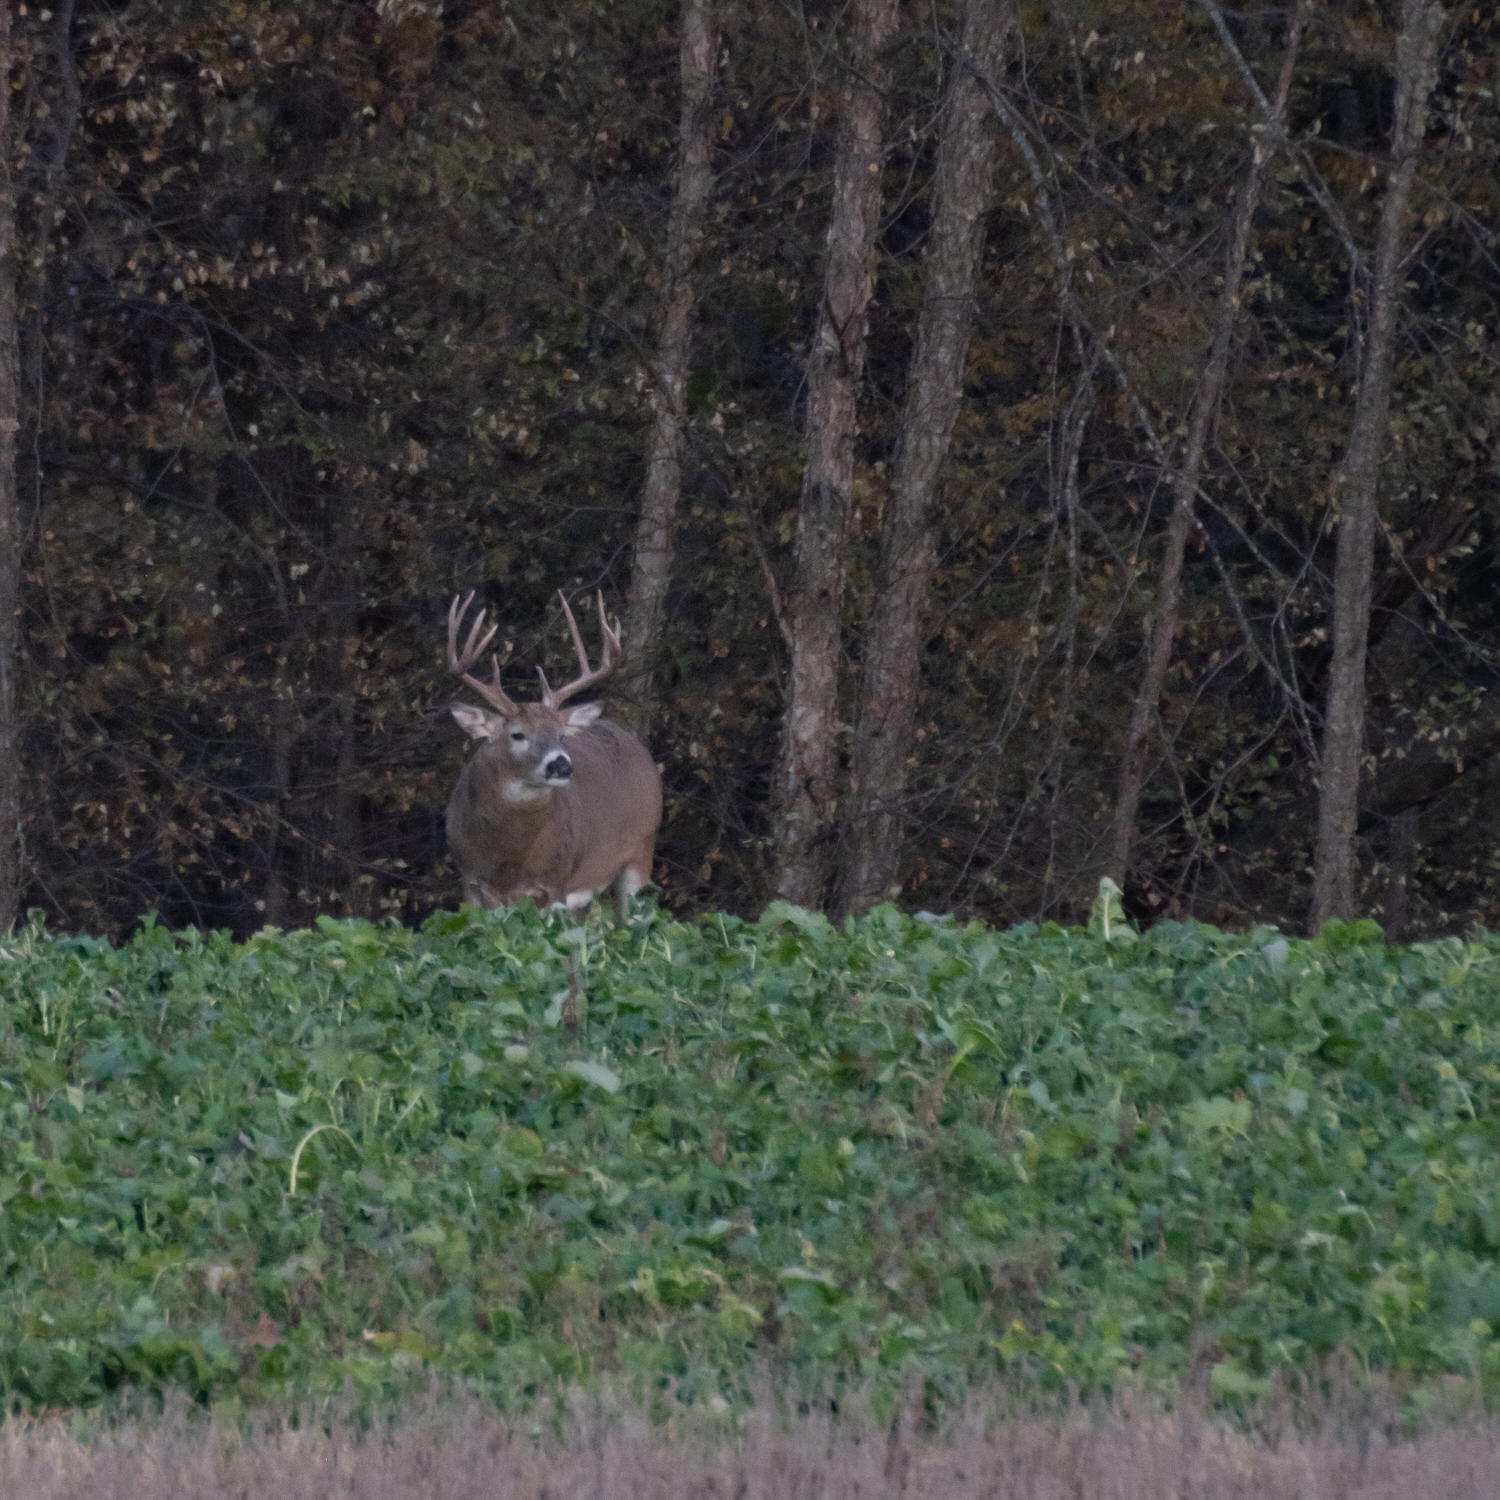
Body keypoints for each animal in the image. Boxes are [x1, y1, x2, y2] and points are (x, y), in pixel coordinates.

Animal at [438, 585, 663, 912]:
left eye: (561, 736)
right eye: (517, 734)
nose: (561, 765)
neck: (507, 861)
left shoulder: (555, 881)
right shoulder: (471, 884)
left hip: (642, 851)